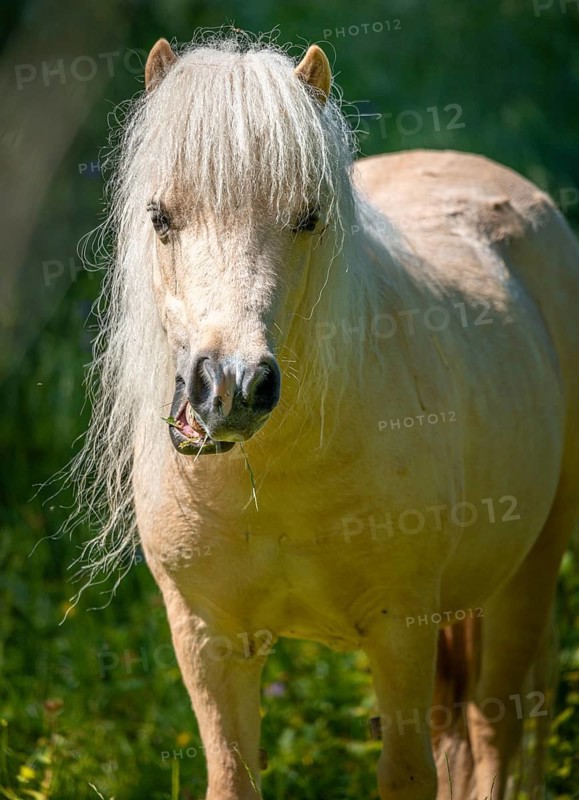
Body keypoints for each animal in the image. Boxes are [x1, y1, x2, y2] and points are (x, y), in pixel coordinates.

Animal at [73, 33, 579, 800]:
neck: (276, 475)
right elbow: (232, 778)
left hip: (529, 572)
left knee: (496, 731)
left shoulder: (402, 630)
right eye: (159, 217)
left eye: (308, 218)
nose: (227, 388)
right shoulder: (207, 639)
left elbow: (408, 775)